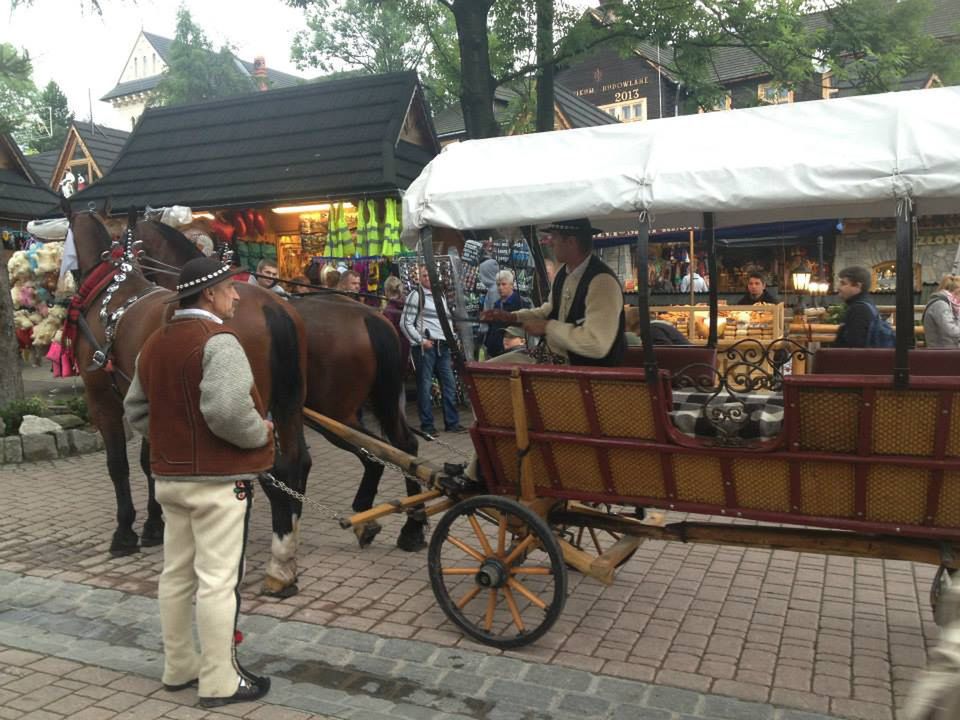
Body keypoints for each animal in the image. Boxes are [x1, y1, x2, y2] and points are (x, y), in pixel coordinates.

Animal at [66, 208, 312, 596]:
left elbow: (118, 464)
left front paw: (125, 532)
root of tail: (273, 309)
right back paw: (285, 559)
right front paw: (154, 526)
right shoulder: (149, 400)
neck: (112, 291)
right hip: (288, 405)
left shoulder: (102, 398)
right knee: (296, 464)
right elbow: (149, 463)